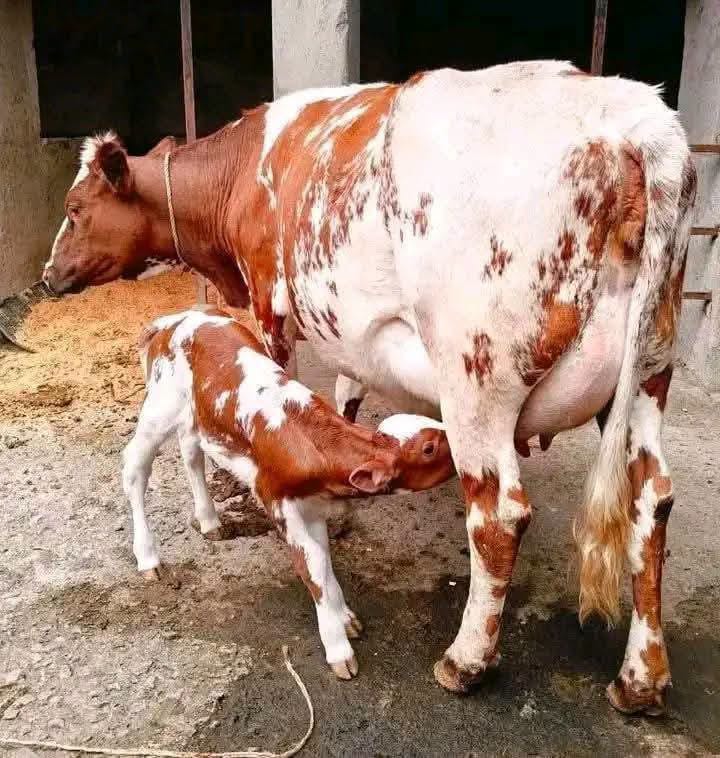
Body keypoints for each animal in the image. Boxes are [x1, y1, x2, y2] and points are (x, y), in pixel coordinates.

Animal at [124, 308, 454, 678]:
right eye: (428, 448)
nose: (459, 441)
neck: (313, 441)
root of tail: (176, 318)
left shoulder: (312, 507)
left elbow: (323, 560)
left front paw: (344, 616)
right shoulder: (279, 505)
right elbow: (312, 567)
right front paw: (338, 648)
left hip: (197, 416)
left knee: (190, 451)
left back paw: (208, 519)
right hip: (159, 408)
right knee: (135, 468)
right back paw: (147, 556)